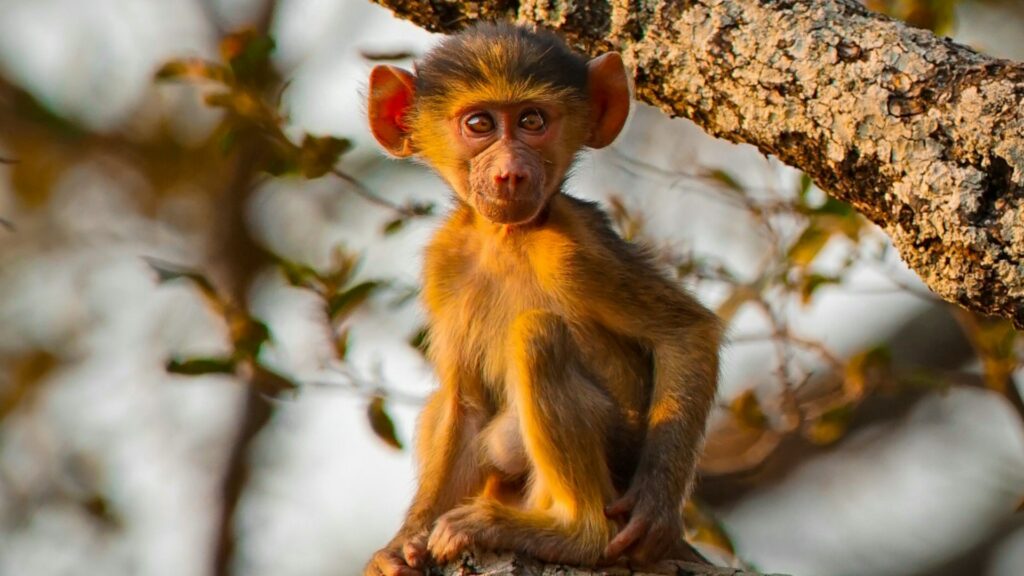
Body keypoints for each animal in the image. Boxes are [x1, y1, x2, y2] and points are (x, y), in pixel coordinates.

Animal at [363, 23, 721, 576]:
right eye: (480, 124)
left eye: (532, 121)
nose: (511, 172)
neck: (507, 237)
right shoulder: (444, 265)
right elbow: (463, 402)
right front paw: (404, 544)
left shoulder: (575, 252)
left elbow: (686, 332)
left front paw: (653, 511)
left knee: (537, 333)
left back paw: (574, 536)